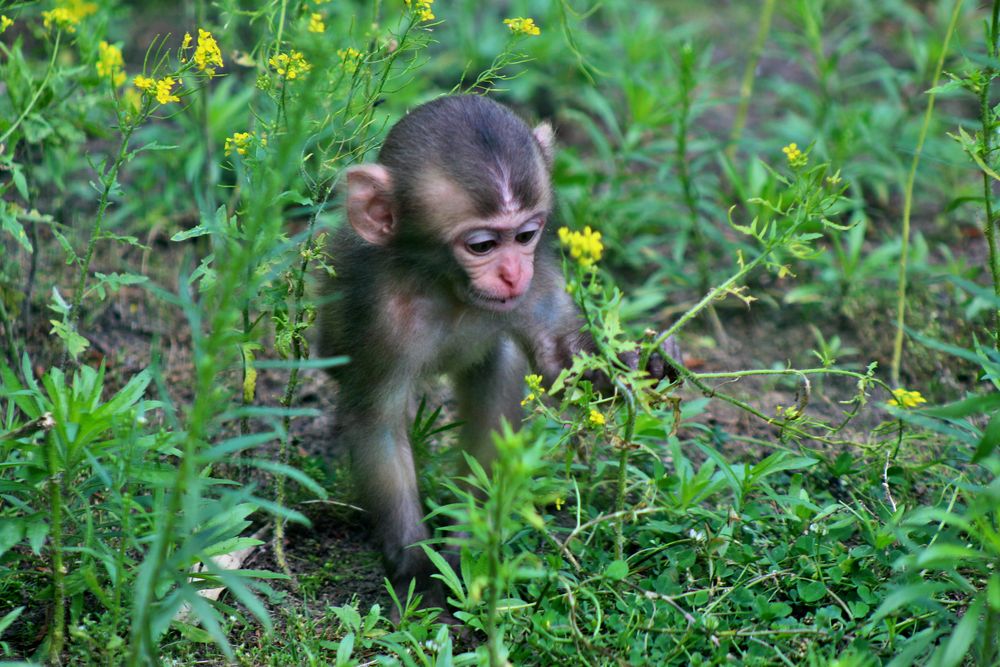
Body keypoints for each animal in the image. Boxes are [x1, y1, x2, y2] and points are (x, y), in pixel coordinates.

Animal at [320, 95, 680, 616]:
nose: (512, 273)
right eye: (483, 245)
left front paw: (644, 363)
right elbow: (377, 423)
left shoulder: (541, 275)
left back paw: (471, 536)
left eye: (525, 236)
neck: (446, 288)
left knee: (502, 364)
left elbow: (559, 364)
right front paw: (414, 566)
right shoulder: (380, 318)